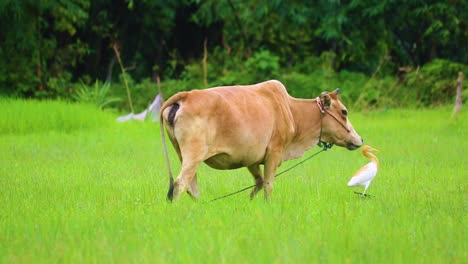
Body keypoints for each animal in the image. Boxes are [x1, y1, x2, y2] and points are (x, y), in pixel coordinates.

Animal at [160, 79, 362, 201]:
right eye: (344, 112)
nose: (359, 139)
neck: (291, 110)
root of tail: (186, 95)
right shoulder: (274, 153)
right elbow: (268, 185)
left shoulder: (252, 159)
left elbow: (258, 182)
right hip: (194, 155)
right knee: (180, 184)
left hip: (182, 154)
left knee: (192, 188)